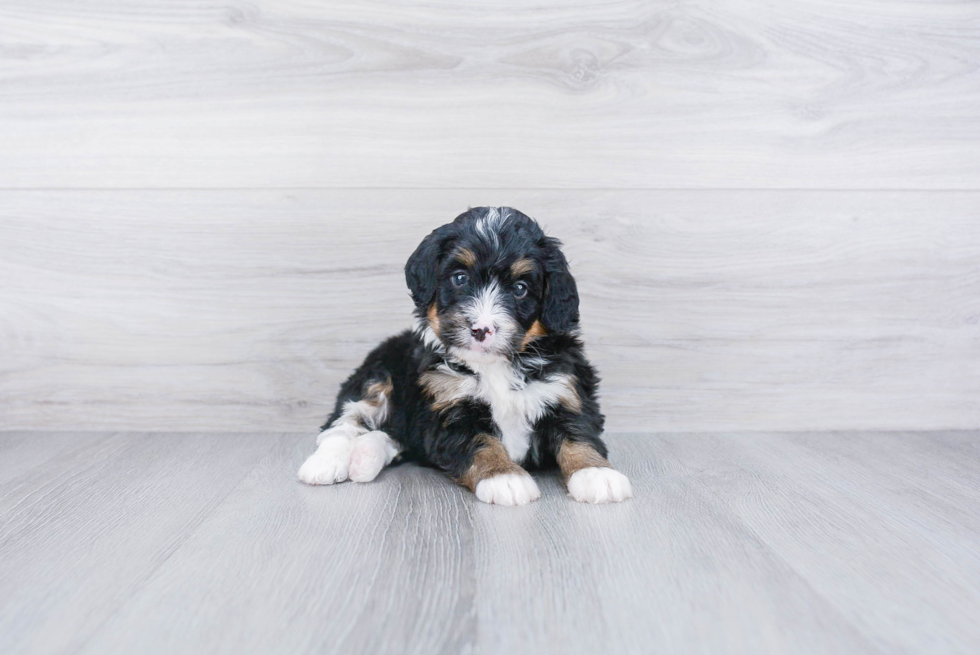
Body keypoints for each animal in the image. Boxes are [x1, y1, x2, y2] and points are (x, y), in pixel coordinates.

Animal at [298, 208, 632, 504]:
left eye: (520, 288)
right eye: (460, 278)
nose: (481, 329)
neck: (495, 365)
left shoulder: (566, 390)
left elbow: (579, 434)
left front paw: (597, 474)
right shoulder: (449, 410)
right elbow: (481, 443)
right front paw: (504, 477)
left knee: (393, 436)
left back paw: (365, 456)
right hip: (377, 376)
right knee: (343, 423)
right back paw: (325, 464)